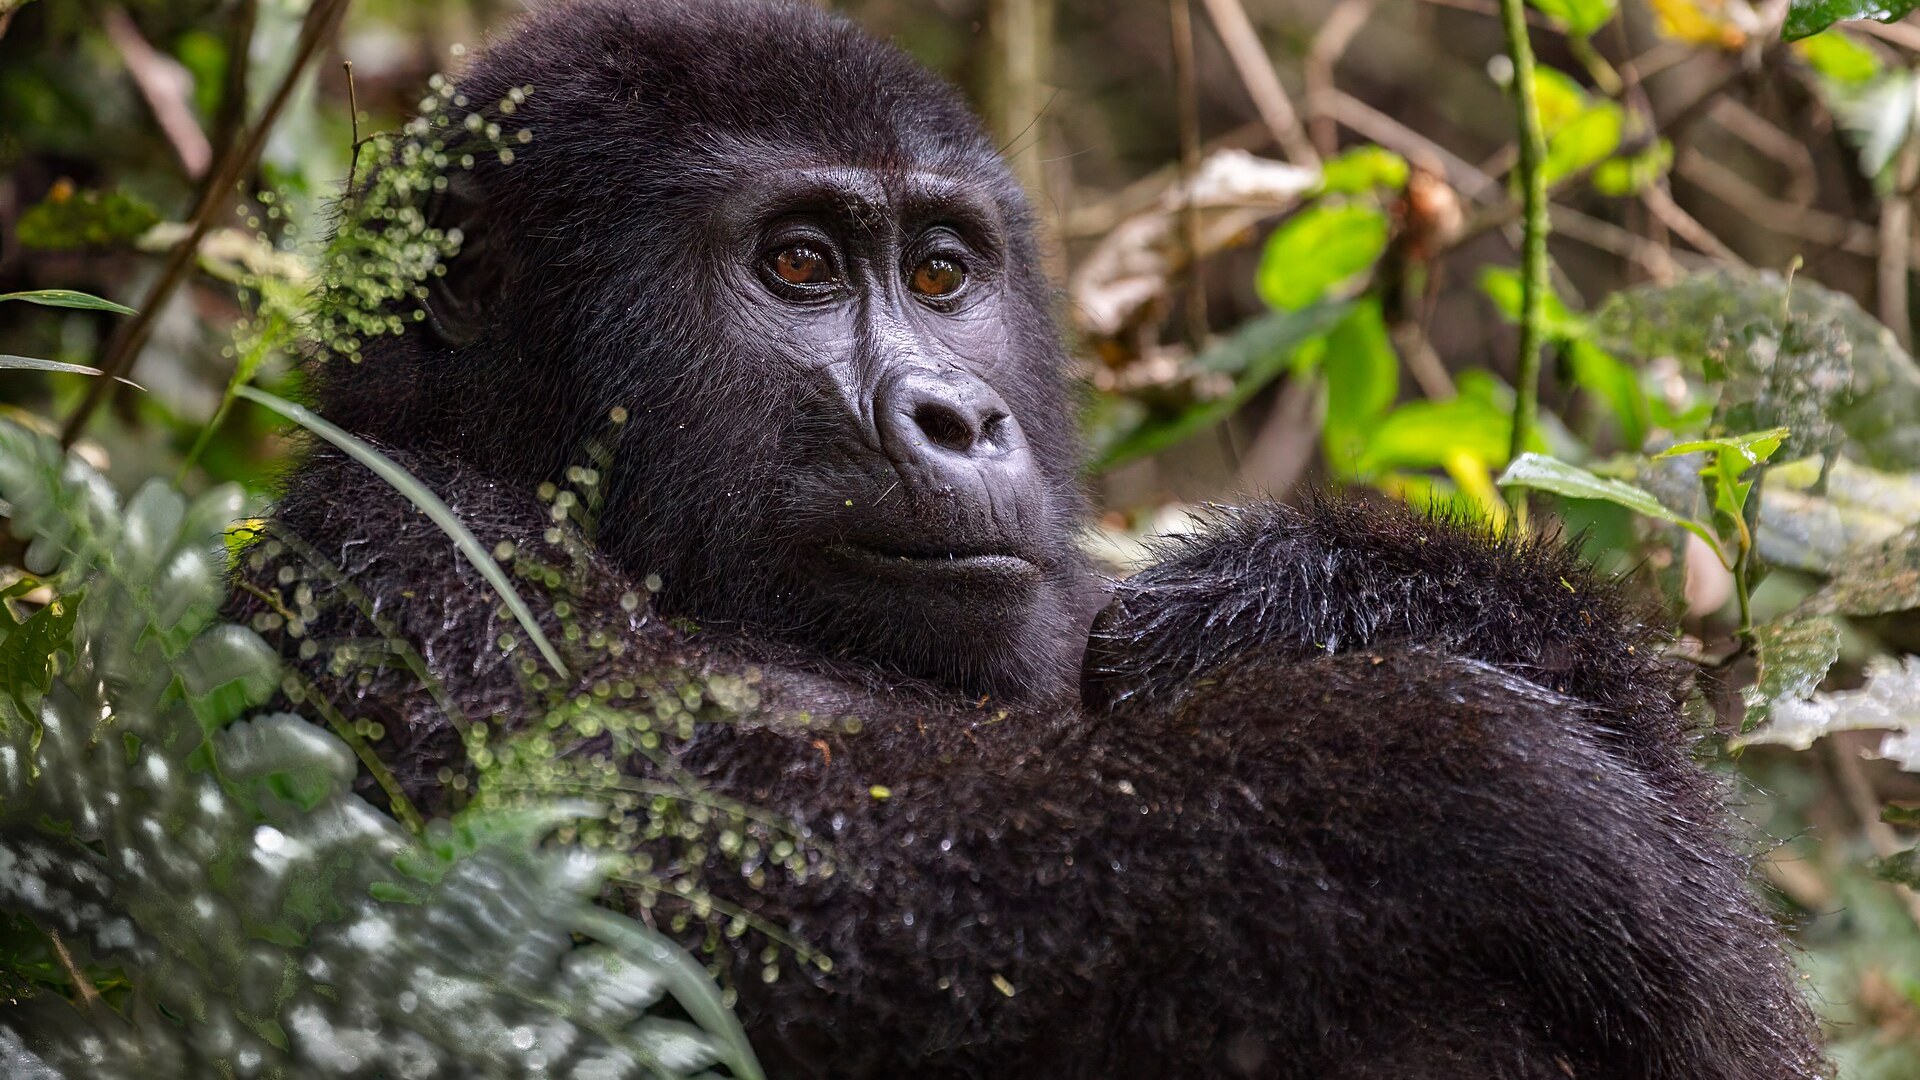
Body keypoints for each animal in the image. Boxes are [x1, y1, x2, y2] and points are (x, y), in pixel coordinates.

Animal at [240, 1, 1824, 1076]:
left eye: (943, 275)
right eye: (799, 265)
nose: (958, 416)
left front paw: (1339, 592)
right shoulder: (382, 557)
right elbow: (691, 877)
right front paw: (1448, 776)